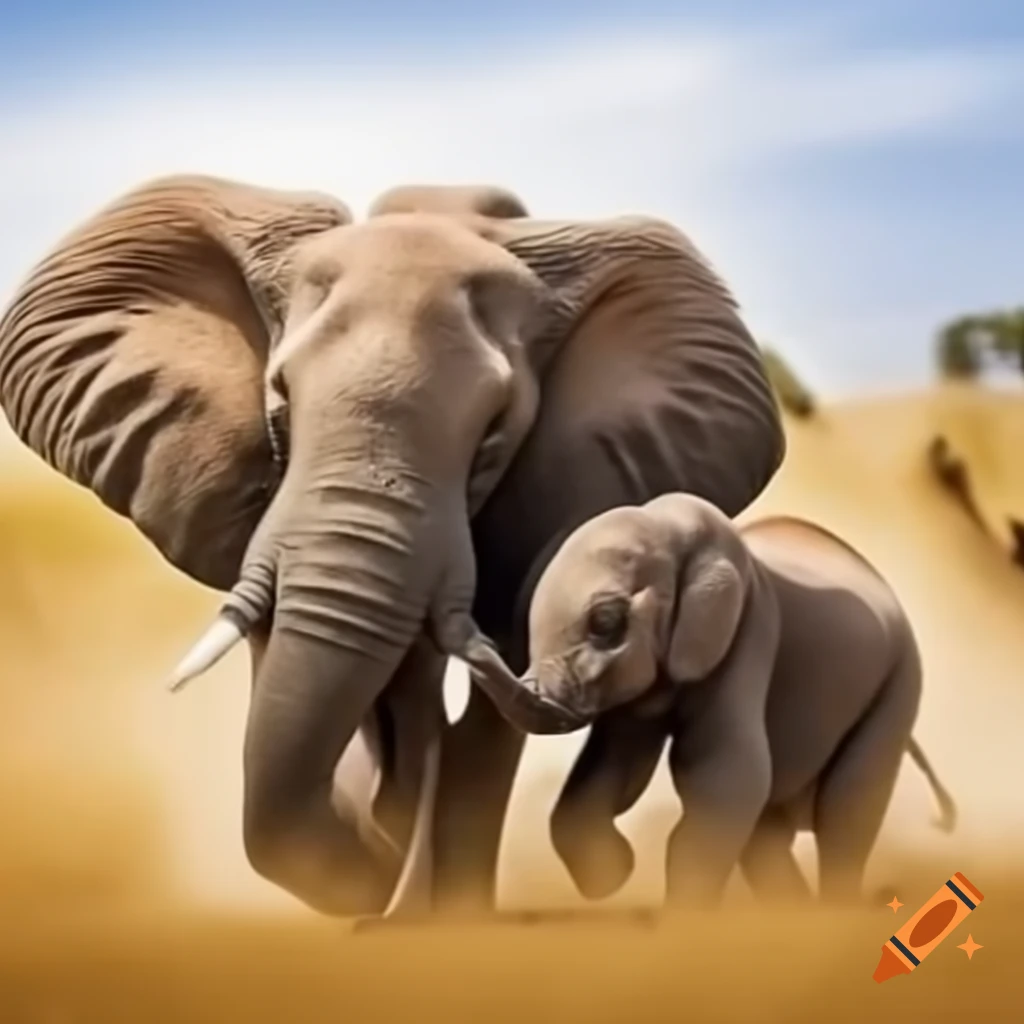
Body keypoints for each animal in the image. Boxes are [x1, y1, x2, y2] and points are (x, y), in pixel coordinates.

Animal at [463, 494, 957, 907]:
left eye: (605, 622)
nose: (473, 638)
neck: (674, 526)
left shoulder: (749, 634)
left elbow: (722, 780)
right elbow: (613, 770)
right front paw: (614, 874)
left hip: (900, 684)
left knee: (846, 816)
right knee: (767, 834)